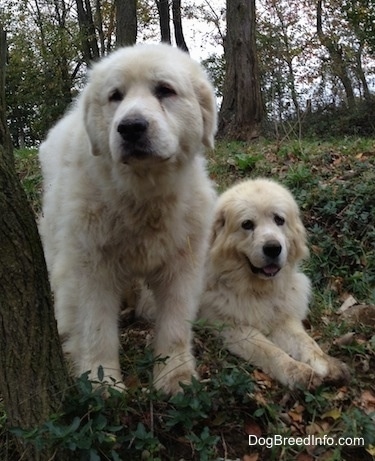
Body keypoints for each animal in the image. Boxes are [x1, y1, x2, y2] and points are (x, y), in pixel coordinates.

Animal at [201, 179, 352, 388]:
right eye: (247, 224)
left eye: (279, 220)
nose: (273, 248)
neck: (258, 290)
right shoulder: (232, 326)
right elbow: (269, 350)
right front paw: (299, 373)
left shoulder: (283, 317)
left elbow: (306, 342)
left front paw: (328, 365)